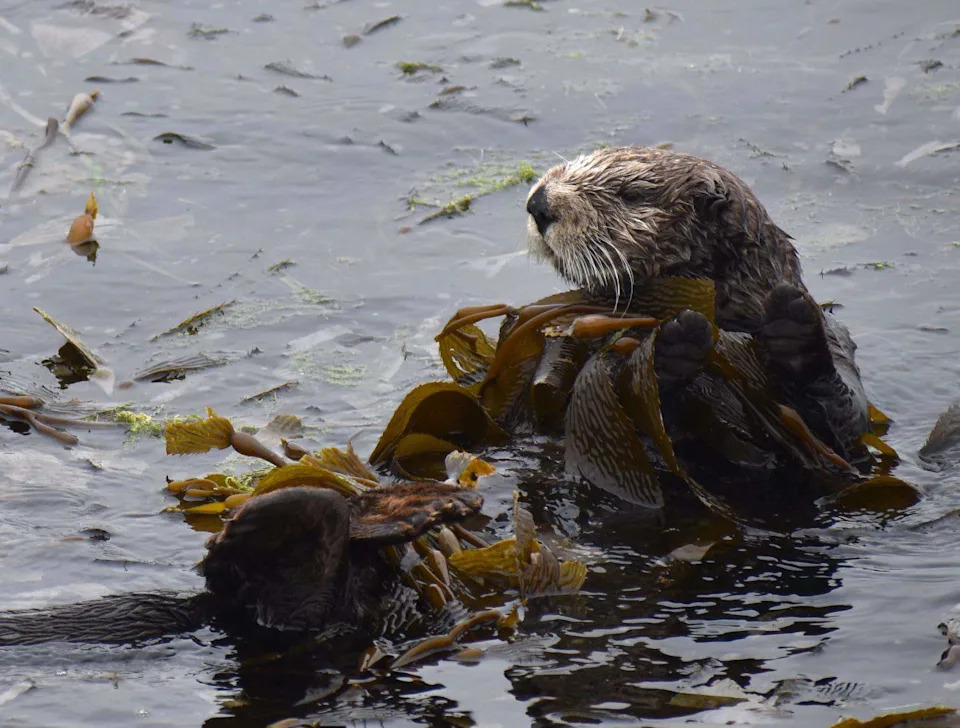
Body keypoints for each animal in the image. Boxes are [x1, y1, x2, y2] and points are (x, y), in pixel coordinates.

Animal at [525, 146, 869, 460]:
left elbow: (846, 427)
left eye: (631, 195)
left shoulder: (835, 338)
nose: (538, 203)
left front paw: (794, 328)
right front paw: (680, 342)